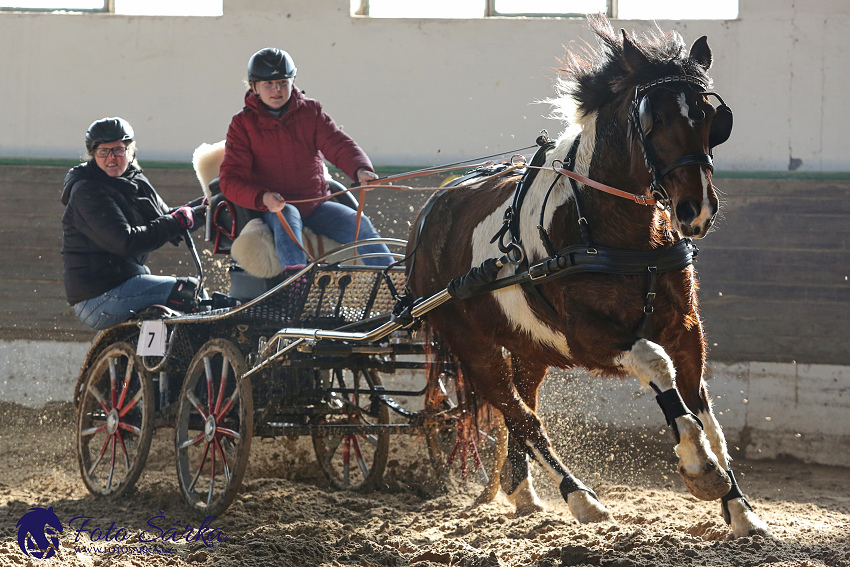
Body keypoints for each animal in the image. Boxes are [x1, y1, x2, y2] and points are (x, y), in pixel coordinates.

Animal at [404, 13, 768, 540]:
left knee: (522, 411)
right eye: (653, 120)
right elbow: (656, 364)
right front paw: (699, 467)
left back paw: (524, 493)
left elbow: (708, 418)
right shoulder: (587, 337)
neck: (615, 232)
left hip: (528, 346)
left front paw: (740, 509)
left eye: (709, 118)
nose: (694, 209)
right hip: (474, 346)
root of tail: (432, 209)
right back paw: (581, 499)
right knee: (523, 418)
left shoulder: (685, 329)